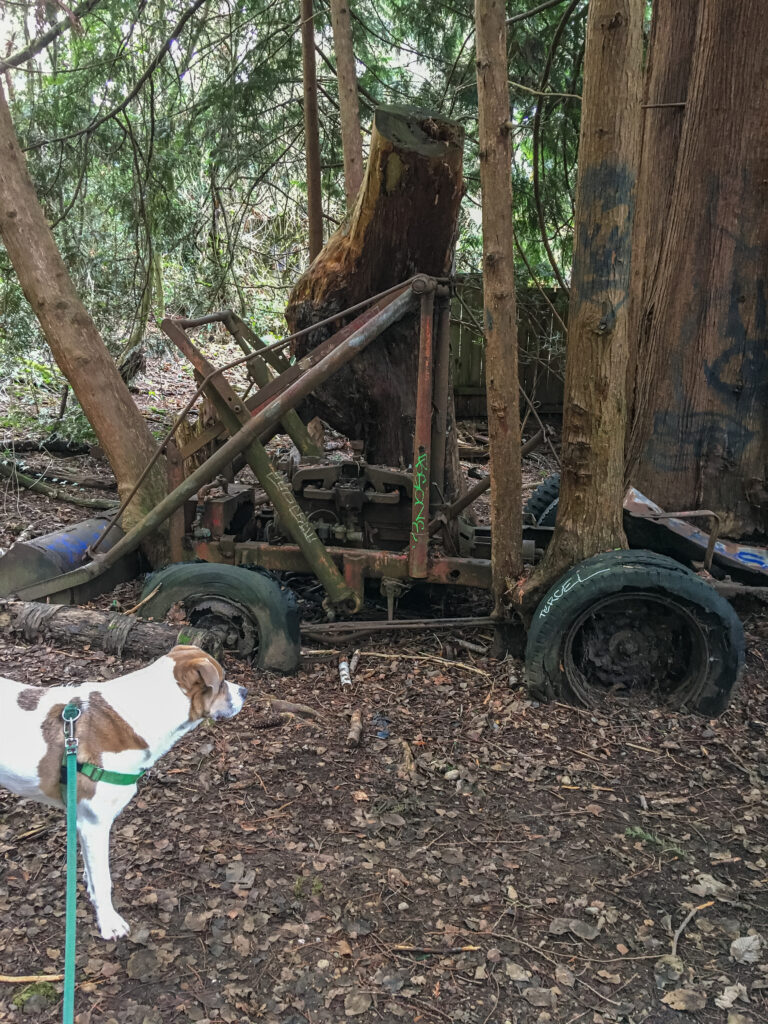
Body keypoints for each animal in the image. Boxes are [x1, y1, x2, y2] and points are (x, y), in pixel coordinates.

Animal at [0, 643, 246, 937]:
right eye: (221, 683)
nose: (245, 691)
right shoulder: (95, 823)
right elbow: (103, 879)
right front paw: (108, 922)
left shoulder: (83, 822)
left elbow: (92, 871)